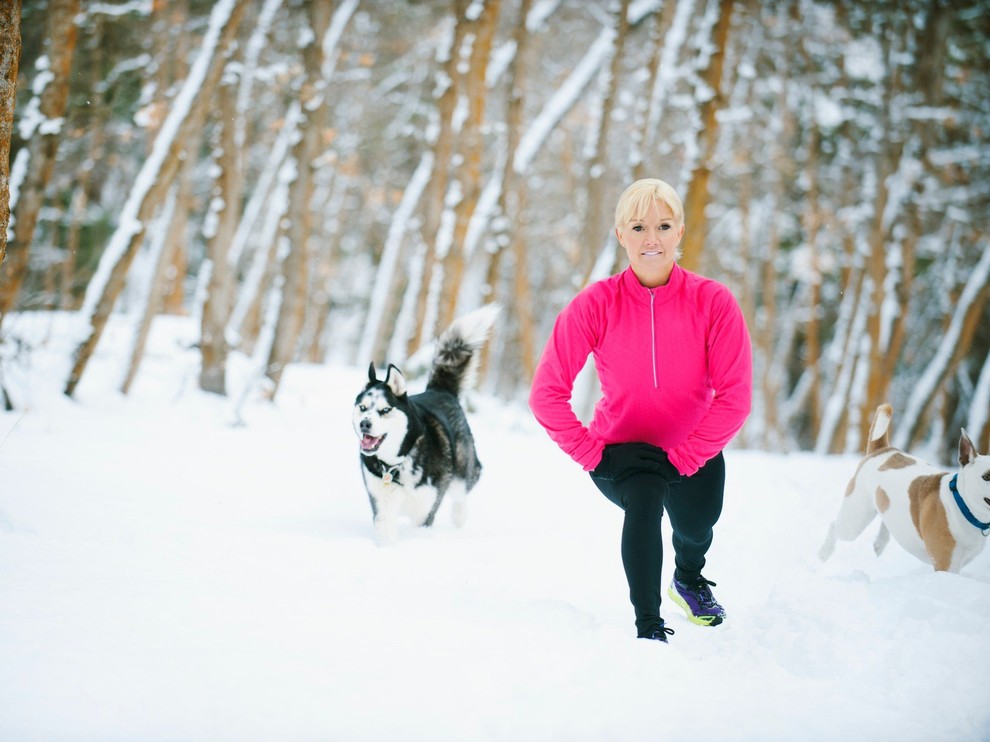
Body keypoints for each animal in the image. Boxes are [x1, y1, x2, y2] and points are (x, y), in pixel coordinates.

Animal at [820, 406, 990, 576]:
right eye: (987, 476)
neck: (962, 505)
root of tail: (882, 449)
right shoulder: (945, 566)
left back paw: (880, 542)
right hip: (855, 518)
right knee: (834, 526)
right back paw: (824, 553)